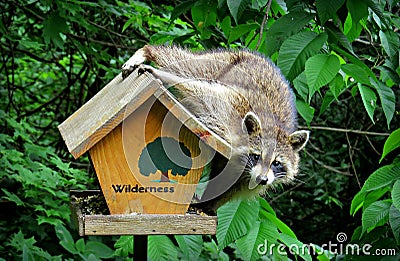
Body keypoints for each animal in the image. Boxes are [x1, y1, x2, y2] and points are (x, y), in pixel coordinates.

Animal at [122, 45, 310, 211]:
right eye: (256, 156)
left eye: (276, 163)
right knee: (187, 65)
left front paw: (208, 204)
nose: (262, 179)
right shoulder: (231, 107)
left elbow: (232, 188)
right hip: (220, 63)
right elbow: (199, 89)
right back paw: (148, 51)